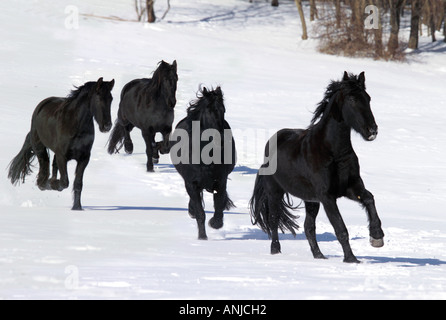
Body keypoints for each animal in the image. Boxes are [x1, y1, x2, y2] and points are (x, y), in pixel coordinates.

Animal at [8, 78, 115, 210]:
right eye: (98, 98)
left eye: (111, 99)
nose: (107, 126)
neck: (75, 125)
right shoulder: (62, 156)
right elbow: (65, 182)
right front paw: (53, 184)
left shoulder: (84, 158)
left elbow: (78, 184)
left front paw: (77, 208)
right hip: (40, 148)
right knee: (44, 168)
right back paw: (45, 183)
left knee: (52, 166)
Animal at [170, 86, 237, 239]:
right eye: (208, 110)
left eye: (223, 110)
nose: (221, 140)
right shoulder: (192, 183)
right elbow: (200, 212)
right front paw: (202, 237)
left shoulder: (220, 181)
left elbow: (219, 205)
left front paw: (215, 223)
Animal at [251, 72, 384, 262]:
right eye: (352, 99)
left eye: (368, 98)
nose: (372, 130)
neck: (334, 153)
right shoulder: (327, 197)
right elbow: (341, 229)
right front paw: (351, 259)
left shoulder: (350, 188)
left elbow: (369, 198)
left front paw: (377, 237)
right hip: (275, 193)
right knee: (274, 220)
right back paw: (276, 250)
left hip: (311, 201)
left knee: (308, 227)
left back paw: (319, 256)